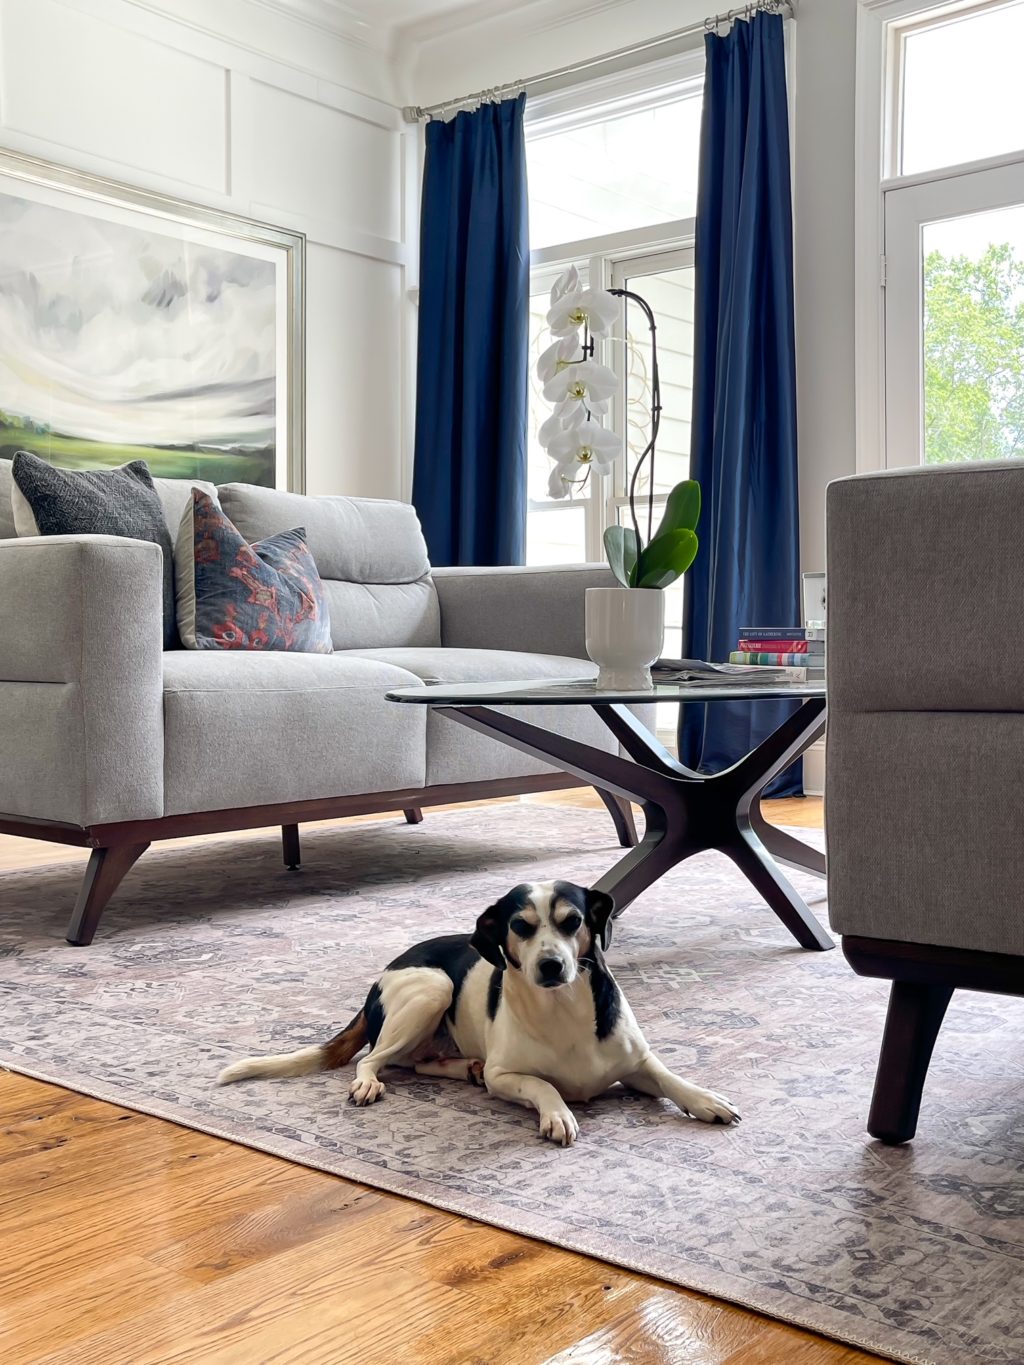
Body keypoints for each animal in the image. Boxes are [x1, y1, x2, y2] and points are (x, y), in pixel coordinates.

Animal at [221, 879, 742, 1146]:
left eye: (573, 921)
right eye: (521, 926)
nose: (551, 965)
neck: (563, 1009)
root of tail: (384, 973)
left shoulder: (636, 1064)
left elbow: (671, 1076)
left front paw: (705, 1100)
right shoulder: (505, 1076)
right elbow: (544, 1085)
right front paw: (558, 1114)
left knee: (420, 1062)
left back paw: (460, 1066)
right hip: (433, 989)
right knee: (376, 1058)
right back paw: (371, 1082)